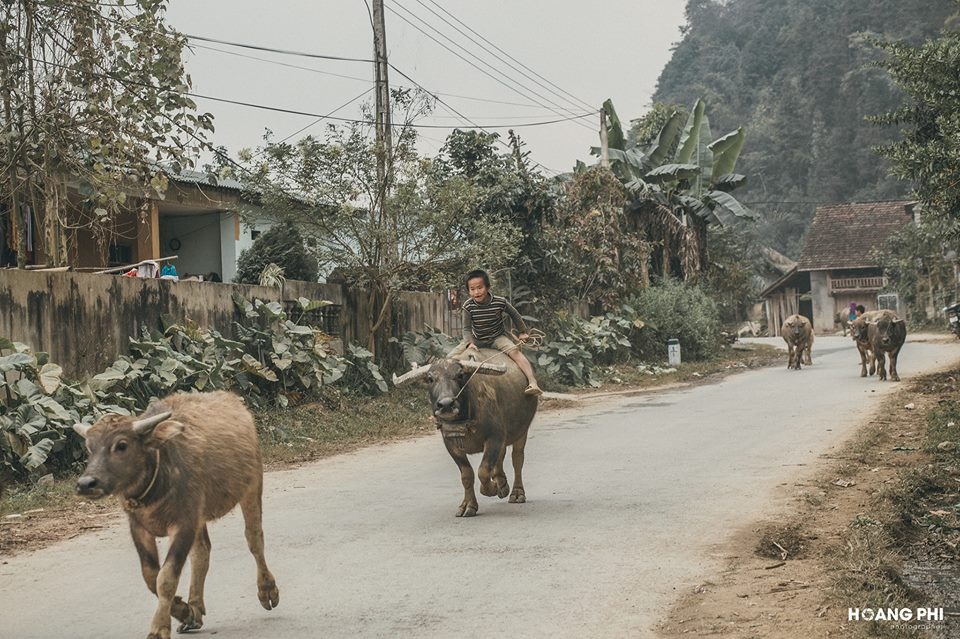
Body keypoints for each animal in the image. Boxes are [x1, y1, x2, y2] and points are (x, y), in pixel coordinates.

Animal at [73, 392, 278, 636]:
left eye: (121, 445)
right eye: (89, 447)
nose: (86, 484)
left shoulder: (183, 523)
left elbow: (166, 578)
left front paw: (159, 629)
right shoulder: (139, 527)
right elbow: (150, 576)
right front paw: (184, 610)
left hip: (252, 486)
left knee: (254, 539)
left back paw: (267, 590)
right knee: (202, 552)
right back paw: (195, 611)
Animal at [392, 350, 540, 520]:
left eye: (460, 375)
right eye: (430, 379)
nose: (446, 404)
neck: (465, 419)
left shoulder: (494, 438)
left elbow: (483, 471)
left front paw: (490, 489)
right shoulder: (451, 444)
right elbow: (467, 475)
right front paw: (468, 506)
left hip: (522, 431)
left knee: (517, 459)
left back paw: (516, 492)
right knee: (501, 456)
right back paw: (502, 483)